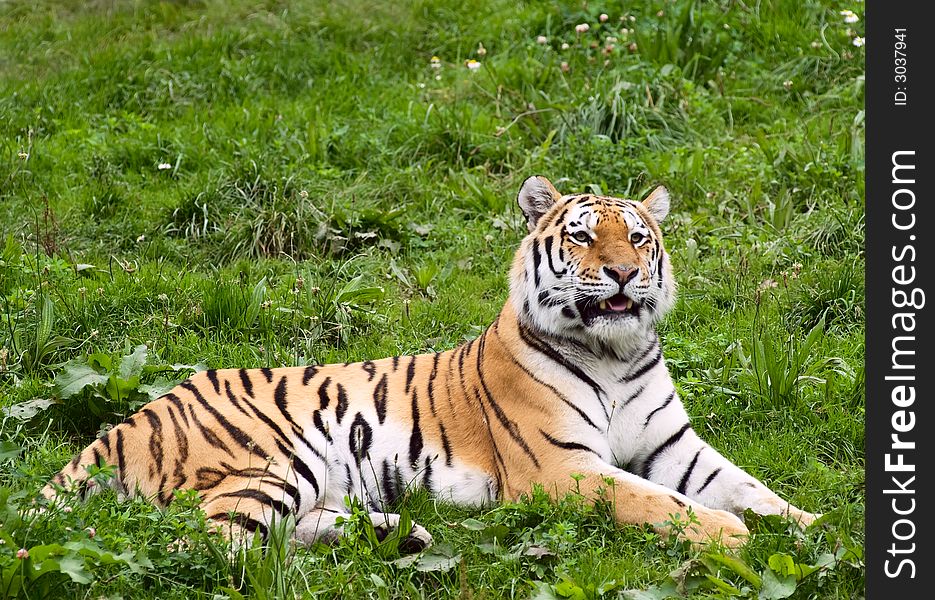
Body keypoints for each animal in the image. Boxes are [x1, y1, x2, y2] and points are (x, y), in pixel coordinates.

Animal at [44, 177, 820, 548]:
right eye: (581, 237)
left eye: (636, 236)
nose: (625, 273)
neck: (615, 354)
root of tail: (131, 418)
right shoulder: (561, 468)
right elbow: (655, 501)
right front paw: (729, 535)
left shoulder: (673, 446)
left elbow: (748, 487)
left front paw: (813, 525)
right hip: (274, 458)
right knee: (214, 544)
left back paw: (400, 537)